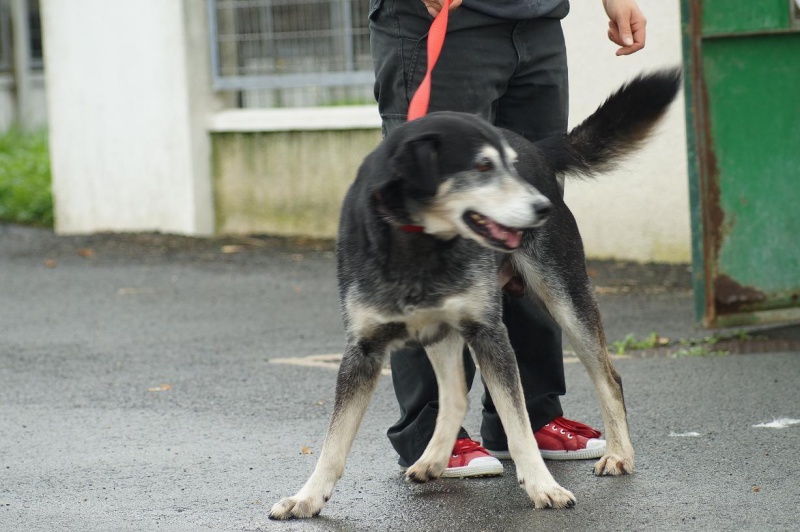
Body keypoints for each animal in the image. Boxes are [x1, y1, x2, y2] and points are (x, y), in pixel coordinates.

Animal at [270, 68, 680, 516]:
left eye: (509, 168)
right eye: (482, 165)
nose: (541, 207)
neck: (420, 243)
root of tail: (537, 150)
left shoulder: (489, 333)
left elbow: (519, 423)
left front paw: (543, 486)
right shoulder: (363, 349)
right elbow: (334, 439)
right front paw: (307, 497)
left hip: (565, 298)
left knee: (609, 377)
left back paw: (619, 454)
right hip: (440, 330)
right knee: (453, 396)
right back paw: (434, 460)